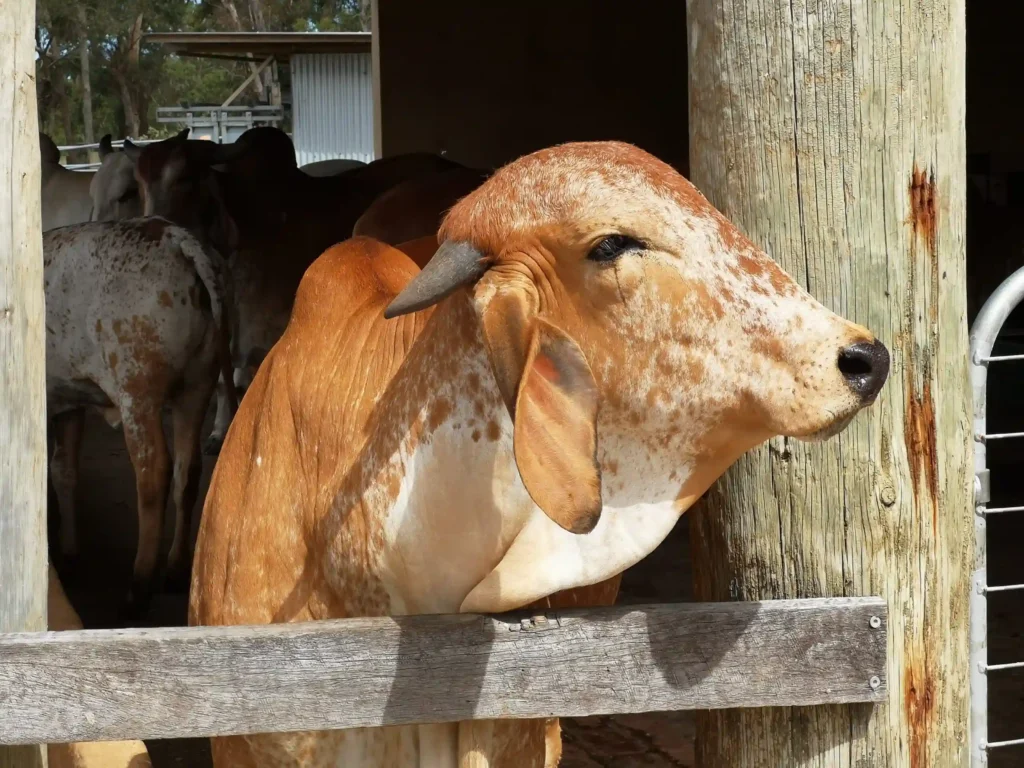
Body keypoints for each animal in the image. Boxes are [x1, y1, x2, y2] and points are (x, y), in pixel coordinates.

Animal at [45, 218, 235, 611]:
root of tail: (178, 238)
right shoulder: (69, 401)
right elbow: (63, 472)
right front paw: (69, 554)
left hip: (138, 391)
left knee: (154, 475)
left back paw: (139, 585)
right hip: (197, 385)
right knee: (188, 470)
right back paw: (175, 569)